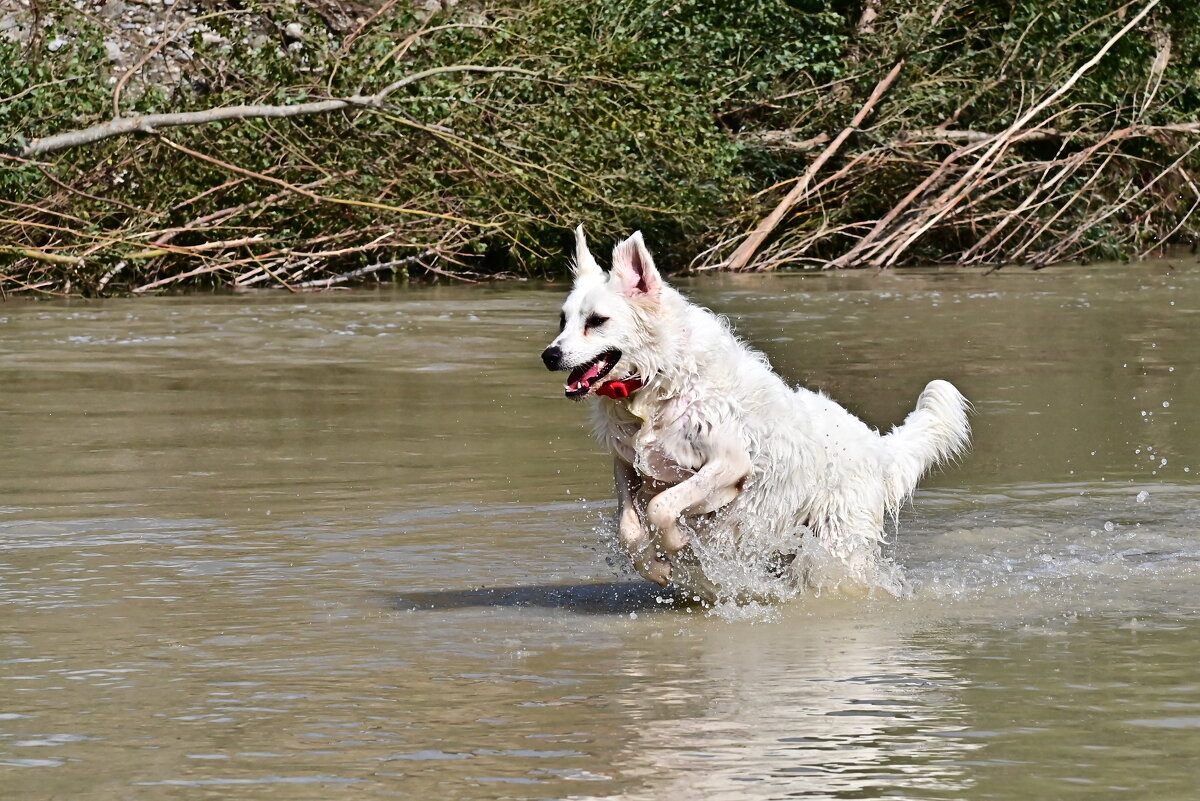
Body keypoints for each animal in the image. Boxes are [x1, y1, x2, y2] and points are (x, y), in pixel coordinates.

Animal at [540, 226, 969, 599]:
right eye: (563, 320)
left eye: (597, 321)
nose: (549, 355)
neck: (658, 382)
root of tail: (878, 447)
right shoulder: (627, 464)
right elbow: (628, 530)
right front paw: (658, 566)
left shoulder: (730, 464)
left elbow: (664, 506)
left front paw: (676, 542)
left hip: (835, 546)